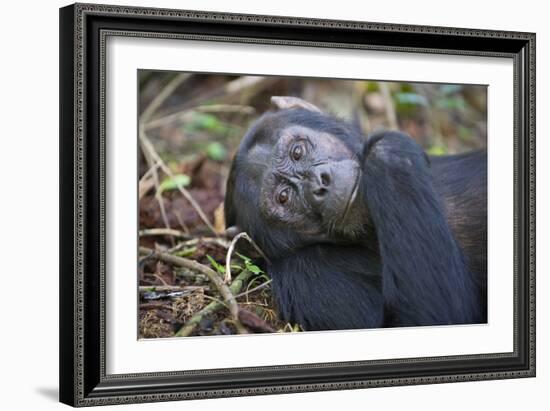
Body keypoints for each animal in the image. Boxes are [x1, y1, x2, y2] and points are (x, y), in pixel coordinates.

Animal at [224, 96, 488, 332]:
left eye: (297, 152)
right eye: (283, 197)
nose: (319, 183)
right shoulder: (306, 274)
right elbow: (427, 316)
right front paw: (386, 150)